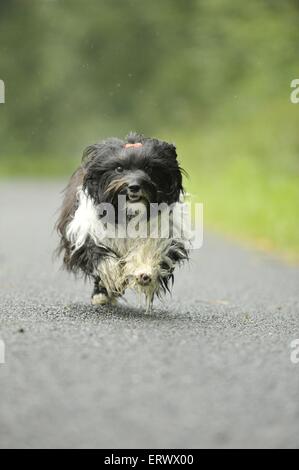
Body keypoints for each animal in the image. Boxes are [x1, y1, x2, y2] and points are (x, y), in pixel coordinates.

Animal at [56, 131, 190, 312]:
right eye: (119, 168)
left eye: (149, 168)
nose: (134, 186)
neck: (128, 213)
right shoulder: (87, 230)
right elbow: (99, 254)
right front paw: (111, 276)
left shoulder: (164, 233)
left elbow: (150, 248)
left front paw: (144, 272)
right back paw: (102, 294)